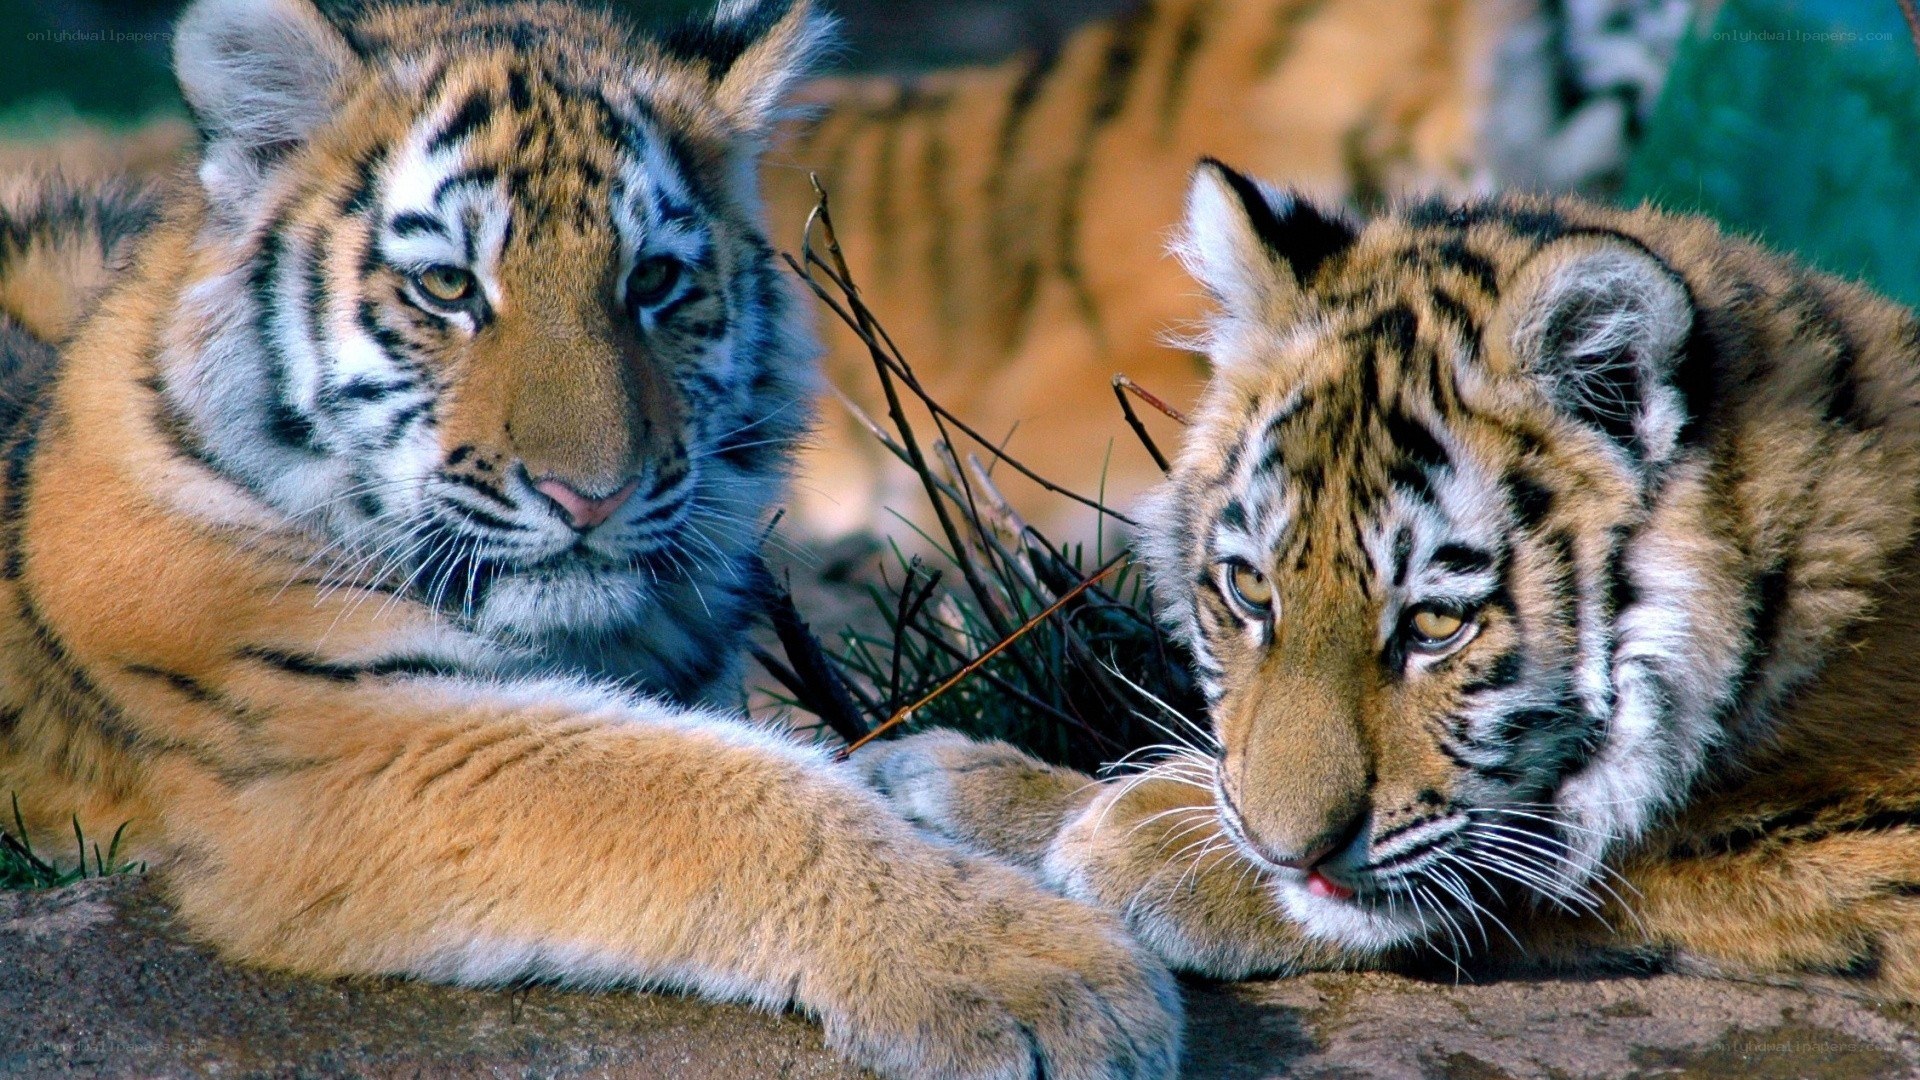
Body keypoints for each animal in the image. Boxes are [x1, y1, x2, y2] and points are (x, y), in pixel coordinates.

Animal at [0, 2, 1182, 1076]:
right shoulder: (335, 737)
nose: (591, 498)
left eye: (652, 281)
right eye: (447, 287)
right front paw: (1043, 974)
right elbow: (711, 787)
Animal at [859, 159, 1920, 1000]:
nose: (1286, 852)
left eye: (1436, 625)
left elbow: (1594, 859)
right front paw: (947, 782)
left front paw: (1136, 838)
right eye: (1250, 590)